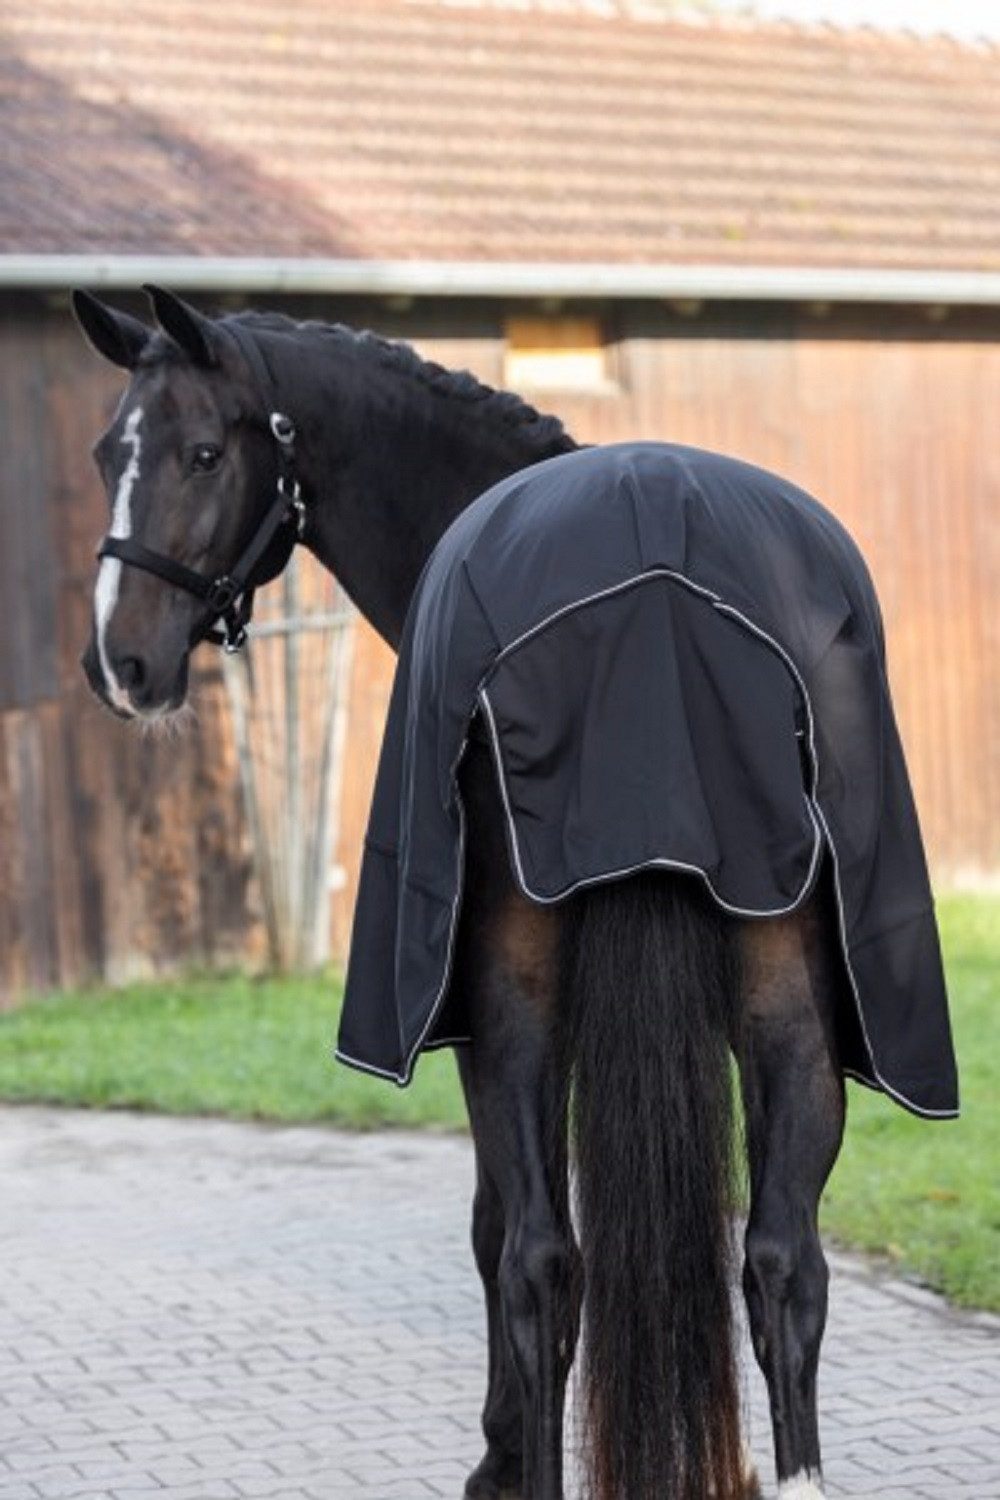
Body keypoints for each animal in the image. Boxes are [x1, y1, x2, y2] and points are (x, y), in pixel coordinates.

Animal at [70, 284, 935, 1500]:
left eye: (202, 452)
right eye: (112, 453)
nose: (121, 667)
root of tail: (657, 605)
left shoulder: (483, 1027)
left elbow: (492, 1230)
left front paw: (497, 1449)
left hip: (514, 1003)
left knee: (541, 1260)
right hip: (788, 1007)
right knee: (780, 1265)